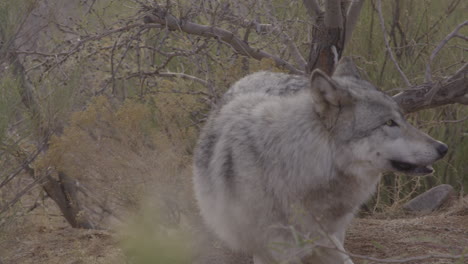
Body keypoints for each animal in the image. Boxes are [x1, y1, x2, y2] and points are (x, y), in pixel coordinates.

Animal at [192, 58, 448, 264]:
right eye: (389, 123)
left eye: (402, 119)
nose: (443, 148)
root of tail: (258, 73)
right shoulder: (278, 252)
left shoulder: (328, 243)